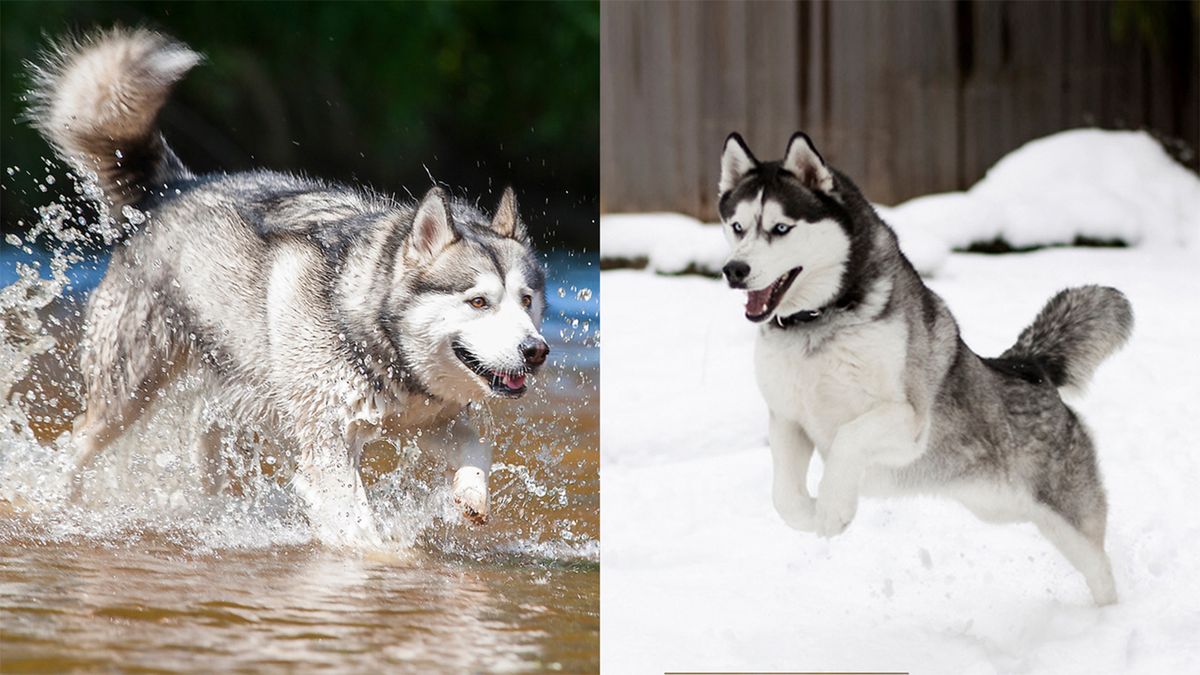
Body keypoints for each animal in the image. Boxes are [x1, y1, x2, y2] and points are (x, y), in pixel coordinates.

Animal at [29, 30, 549, 540]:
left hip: (232, 391)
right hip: (127, 393)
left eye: (527, 301)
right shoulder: (328, 445)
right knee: (78, 442)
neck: (366, 328)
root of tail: (176, 187)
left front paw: (471, 495)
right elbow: (361, 529)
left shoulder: (430, 422)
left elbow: (479, 450)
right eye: (478, 301)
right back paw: (56, 500)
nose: (536, 351)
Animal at [720, 130, 1132, 598]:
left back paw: (1108, 612)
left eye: (781, 228)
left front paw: (833, 507)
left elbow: (848, 438)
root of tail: (1029, 366)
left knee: (1099, 567)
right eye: (737, 227)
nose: (734, 270)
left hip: (1066, 518)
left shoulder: (907, 422)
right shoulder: (788, 419)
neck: (816, 324)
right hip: (999, 506)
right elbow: (784, 499)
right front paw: (814, 511)